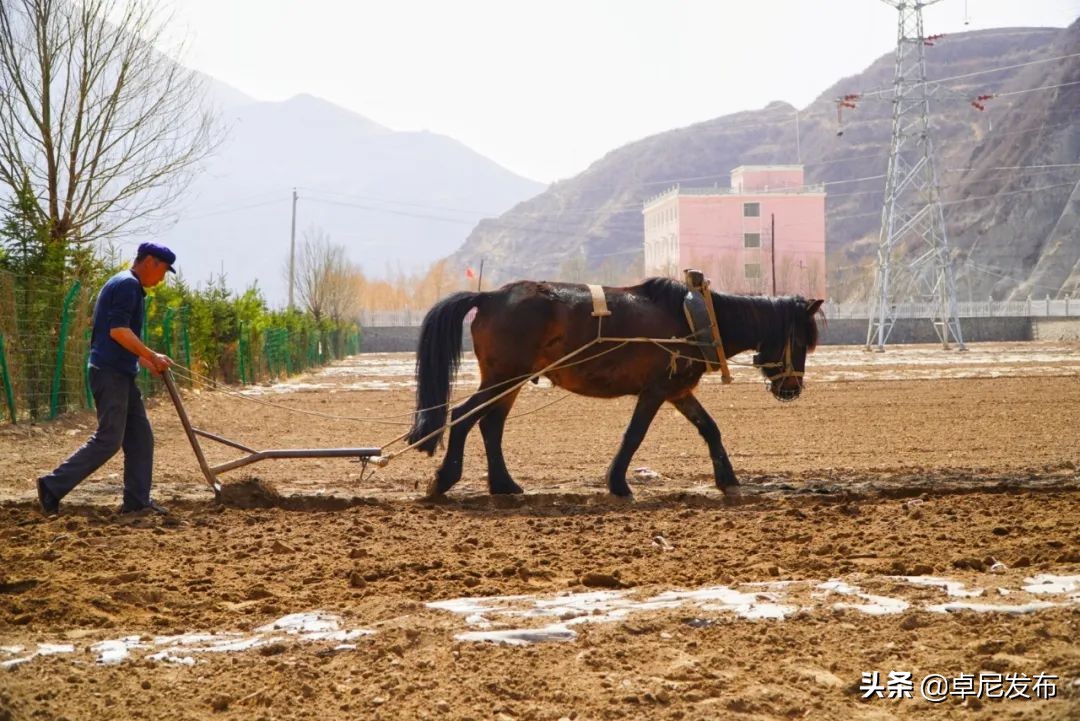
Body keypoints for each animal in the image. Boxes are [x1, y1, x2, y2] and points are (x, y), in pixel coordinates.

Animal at [408, 278, 820, 498]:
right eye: (802, 339)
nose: (792, 388)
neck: (695, 320)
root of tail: (490, 295)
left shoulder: (678, 391)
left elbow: (710, 428)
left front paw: (728, 480)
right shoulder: (655, 391)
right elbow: (634, 434)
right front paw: (618, 482)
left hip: (510, 381)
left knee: (490, 425)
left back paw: (504, 484)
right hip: (503, 378)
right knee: (463, 417)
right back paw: (445, 478)